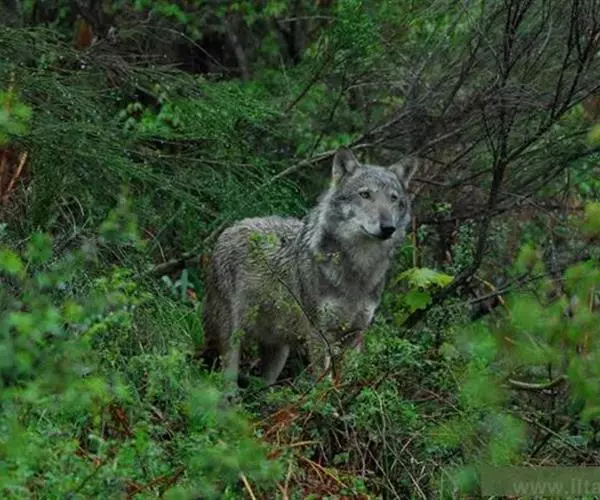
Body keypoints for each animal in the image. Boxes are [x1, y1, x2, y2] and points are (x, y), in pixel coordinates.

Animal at [202, 147, 416, 388]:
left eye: (393, 199)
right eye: (365, 195)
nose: (388, 227)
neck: (357, 271)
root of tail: (231, 227)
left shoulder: (357, 333)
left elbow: (347, 379)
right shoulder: (319, 333)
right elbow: (324, 381)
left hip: (278, 353)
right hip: (233, 340)